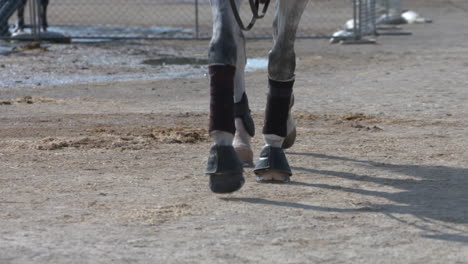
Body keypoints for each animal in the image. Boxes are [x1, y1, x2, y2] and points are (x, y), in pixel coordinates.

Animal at [205, 0, 308, 194]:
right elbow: (223, 46)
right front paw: (223, 159)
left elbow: (281, 59)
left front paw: (273, 150)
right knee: (239, 46)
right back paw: (241, 141)